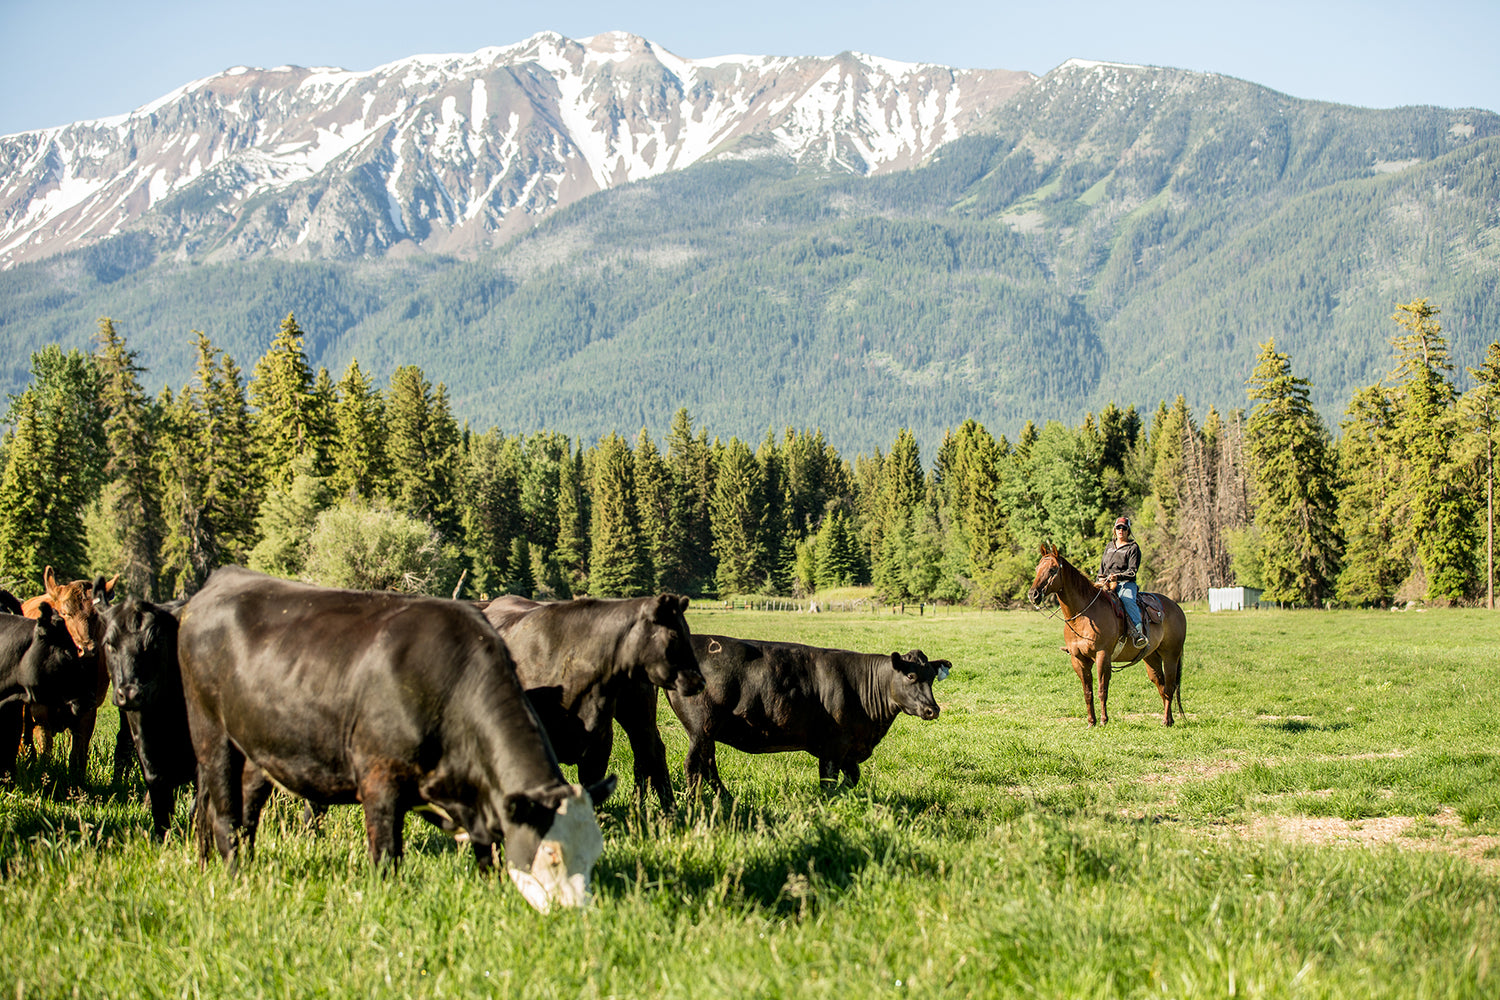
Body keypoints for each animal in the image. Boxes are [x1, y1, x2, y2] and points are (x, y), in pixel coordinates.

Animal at [177, 566, 615, 911]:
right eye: (551, 854)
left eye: (595, 852)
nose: (578, 913)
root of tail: (224, 577)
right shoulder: (379, 779)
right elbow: (387, 855)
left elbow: (486, 854)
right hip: (210, 733)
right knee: (223, 814)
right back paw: (235, 878)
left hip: (260, 747)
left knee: (247, 810)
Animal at [672, 638, 948, 791]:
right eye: (910, 675)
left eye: (932, 677)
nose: (932, 709)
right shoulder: (833, 747)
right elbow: (828, 783)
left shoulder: (848, 749)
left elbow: (852, 778)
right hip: (701, 727)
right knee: (694, 766)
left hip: (707, 732)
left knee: (708, 766)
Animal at [1026, 548, 1188, 728]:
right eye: (1037, 568)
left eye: (1053, 569)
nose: (1033, 594)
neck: (1082, 616)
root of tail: (1176, 607)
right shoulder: (1078, 659)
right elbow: (1087, 692)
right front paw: (1091, 721)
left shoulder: (1102, 656)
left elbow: (1102, 690)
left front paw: (1103, 720)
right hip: (1151, 657)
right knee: (1161, 686)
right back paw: (1169, 719)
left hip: (1171, 655)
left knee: (1170, 686)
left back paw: (1166, 720)